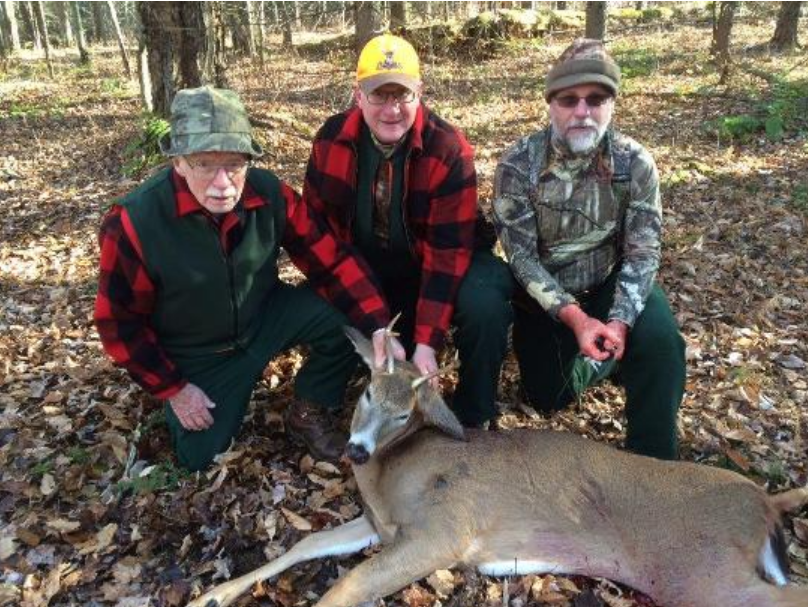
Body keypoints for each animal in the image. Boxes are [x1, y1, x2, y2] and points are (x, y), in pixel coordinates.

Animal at [189, 328, 808, 607]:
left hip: (699, 571)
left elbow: (347, 583)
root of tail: (765, 501)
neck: (391, 478)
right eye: (365, 390)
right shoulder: (379, 524)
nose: (357, 451)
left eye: (405, 411)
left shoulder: (445, 530)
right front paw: (209, 597)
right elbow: (305, 545)